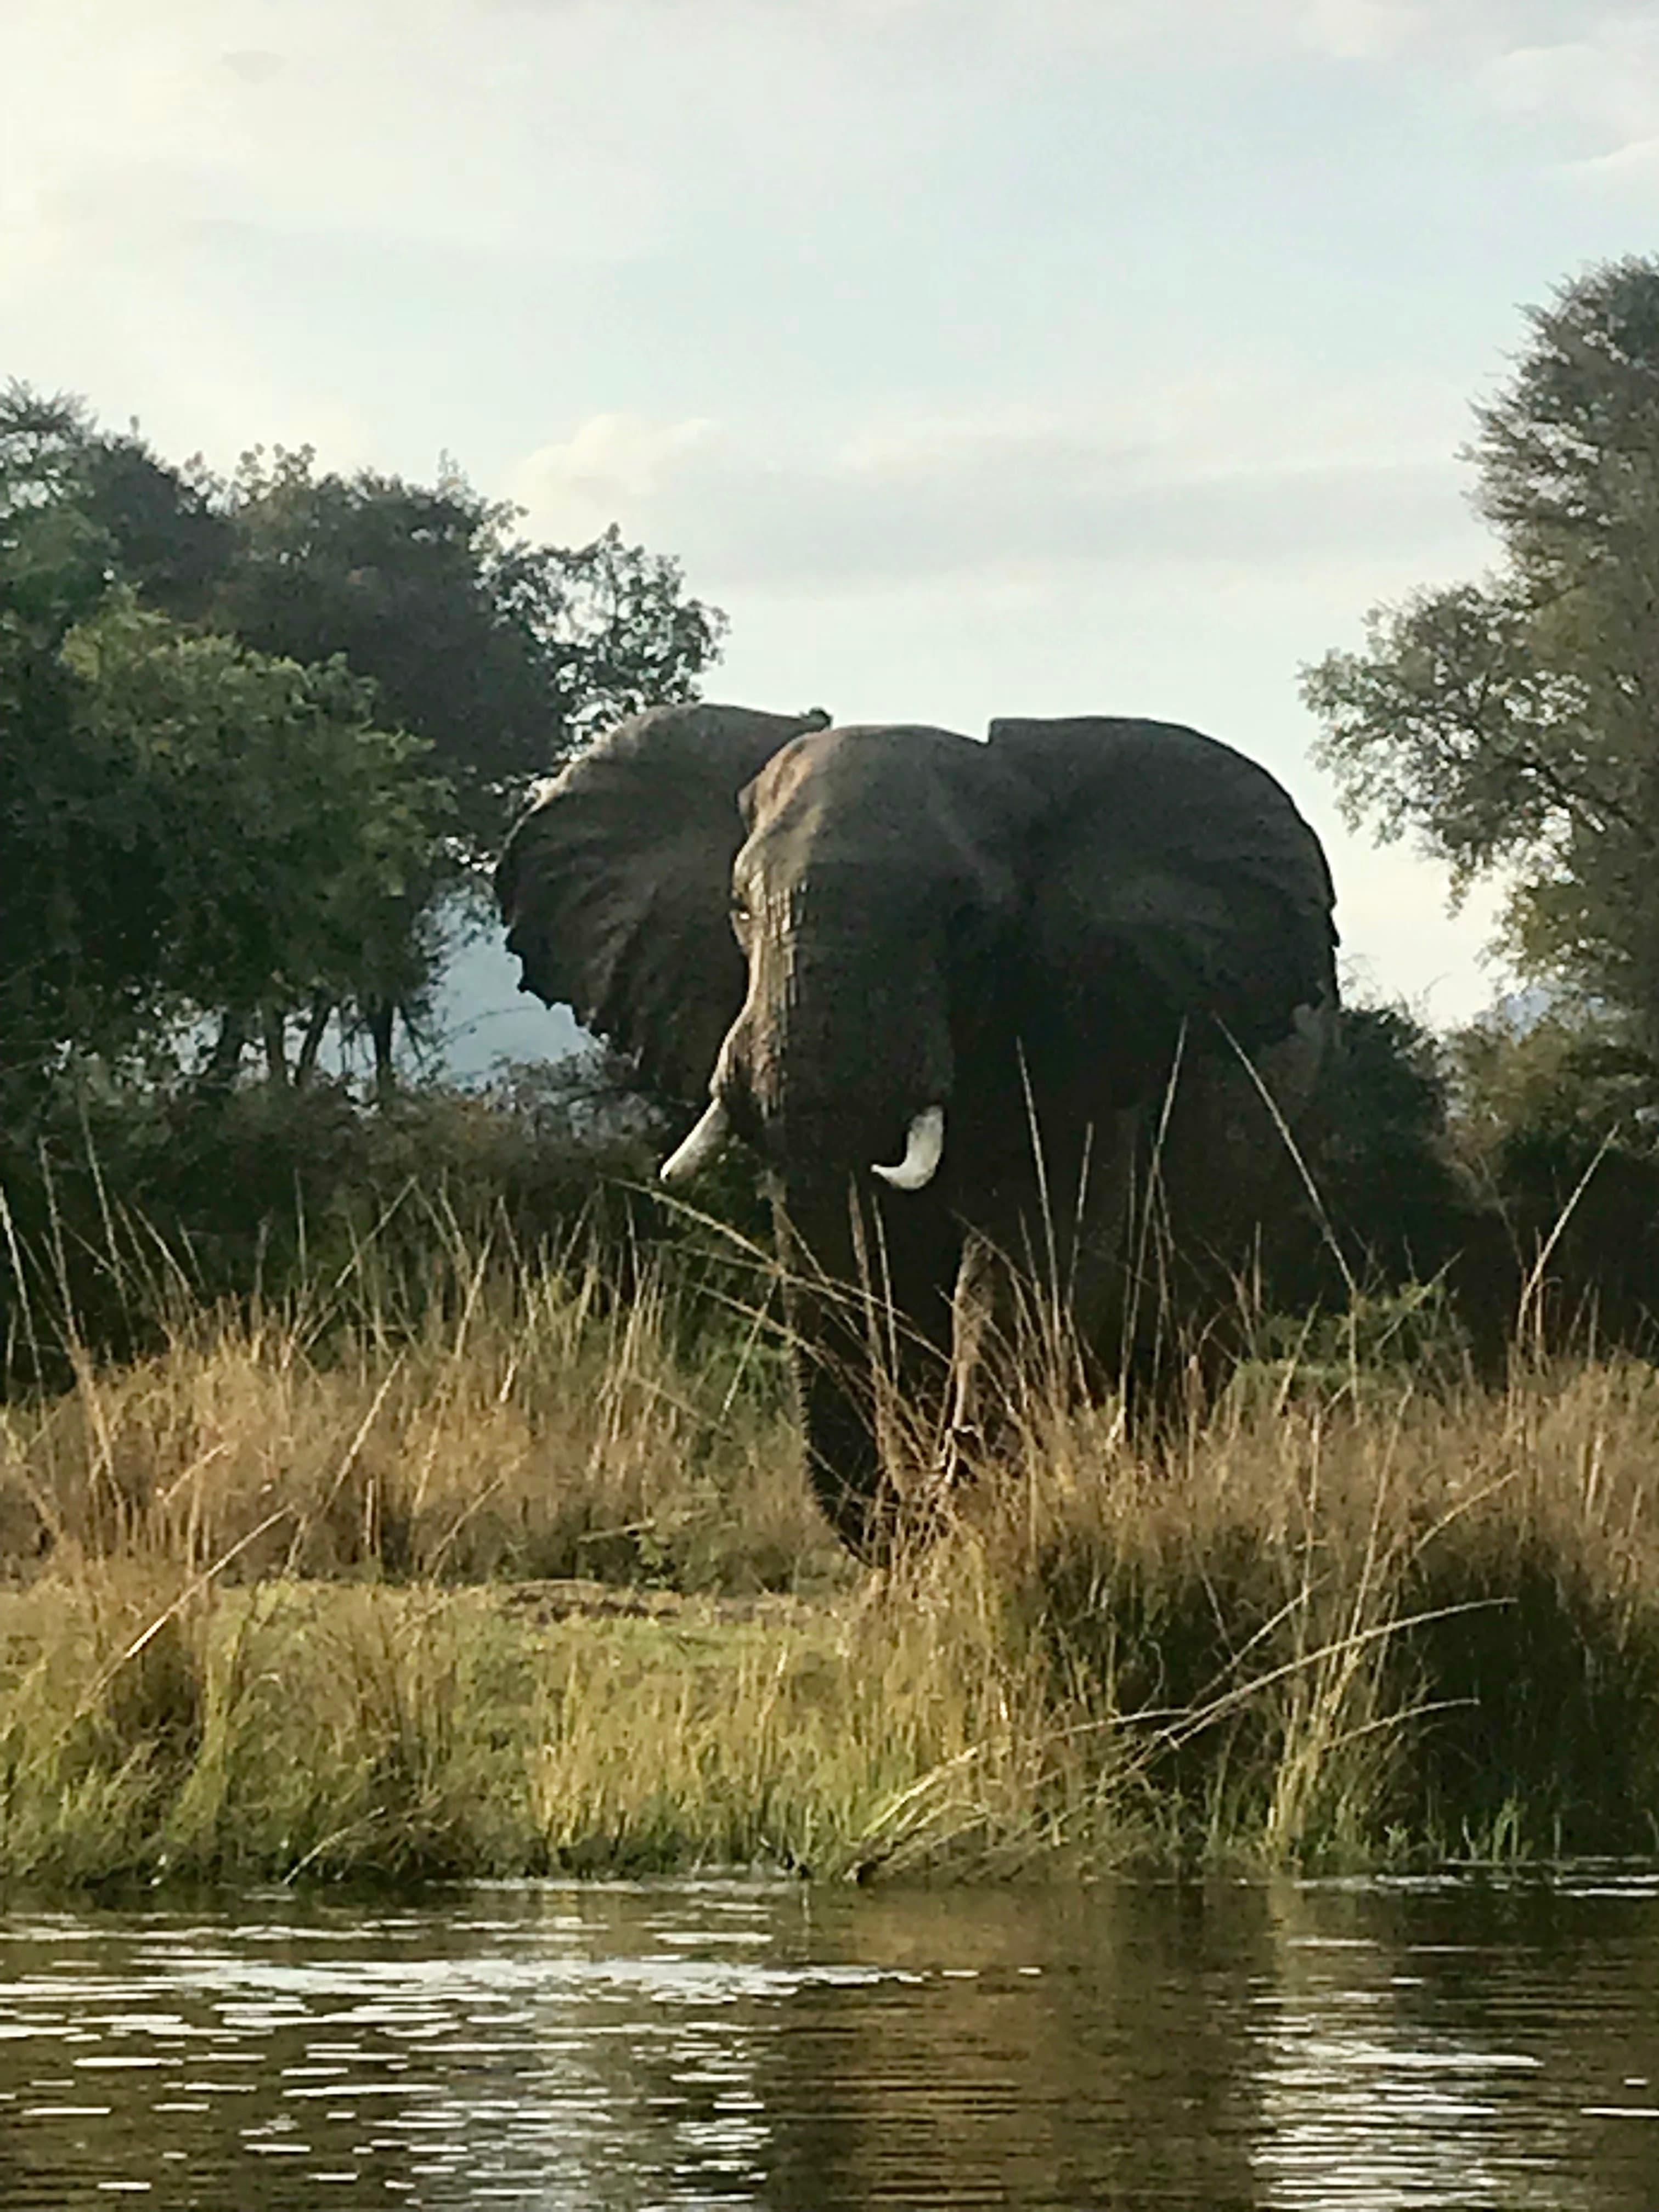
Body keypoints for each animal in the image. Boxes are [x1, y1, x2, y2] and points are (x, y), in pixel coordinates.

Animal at [495, 702, 1339, 1558]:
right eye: (738, 908)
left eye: (968, 923)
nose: (917, 1509)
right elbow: (897, 1284)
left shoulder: (1091, 1041)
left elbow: (1023, 1271)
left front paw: (964, 1503)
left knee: (1178, 1361)